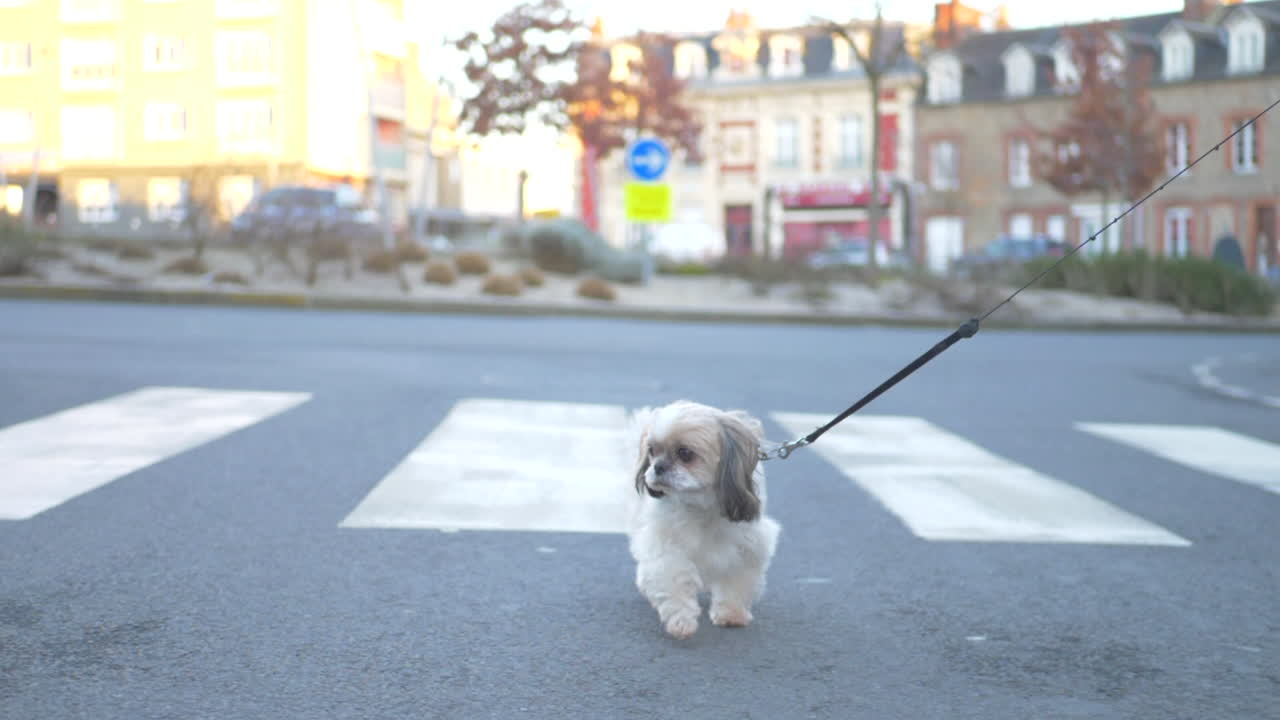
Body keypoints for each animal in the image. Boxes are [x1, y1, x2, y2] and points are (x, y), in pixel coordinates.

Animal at [627, 397, 778, 638]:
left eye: (685, 453)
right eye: (652, 451)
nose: (658, 467)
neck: (701, 507)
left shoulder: (749, 545)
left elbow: (737, 581)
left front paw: (731, 613)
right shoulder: (665, 545)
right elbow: (673, 576)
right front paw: (681, 620)